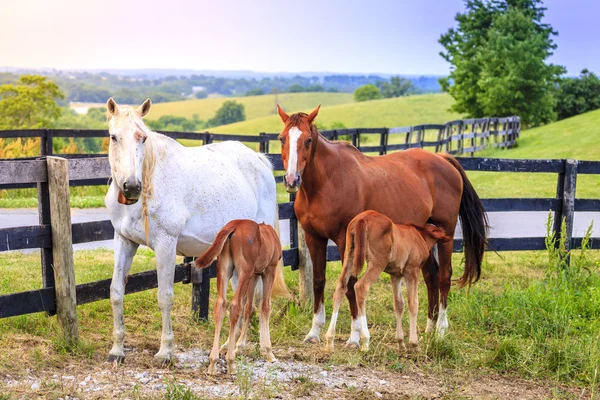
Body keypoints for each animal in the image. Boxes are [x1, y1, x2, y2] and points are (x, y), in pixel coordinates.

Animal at [195, 219, 284, 376]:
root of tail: (235, 225)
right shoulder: (269, 270)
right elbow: (265, 306)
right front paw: (268, 352)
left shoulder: (256, 273)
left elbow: (249, 307)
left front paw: (239, 346)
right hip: (244, 271)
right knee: (236, 306)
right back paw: (231, 363)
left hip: (225, 269)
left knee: (221, 305)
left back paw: (213, 363)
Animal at [324, 211, 450, 352]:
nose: (447, 236)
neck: (419, 236)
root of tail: (362, 219)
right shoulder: (412, 271)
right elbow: (413, 304)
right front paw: (414, 344)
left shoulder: (395, 275)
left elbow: (399, 304)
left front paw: (400, 343)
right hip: (377, 263)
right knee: (361, 286)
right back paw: (365, 340)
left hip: (349, 256)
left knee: (341, 287)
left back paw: (329, 340)